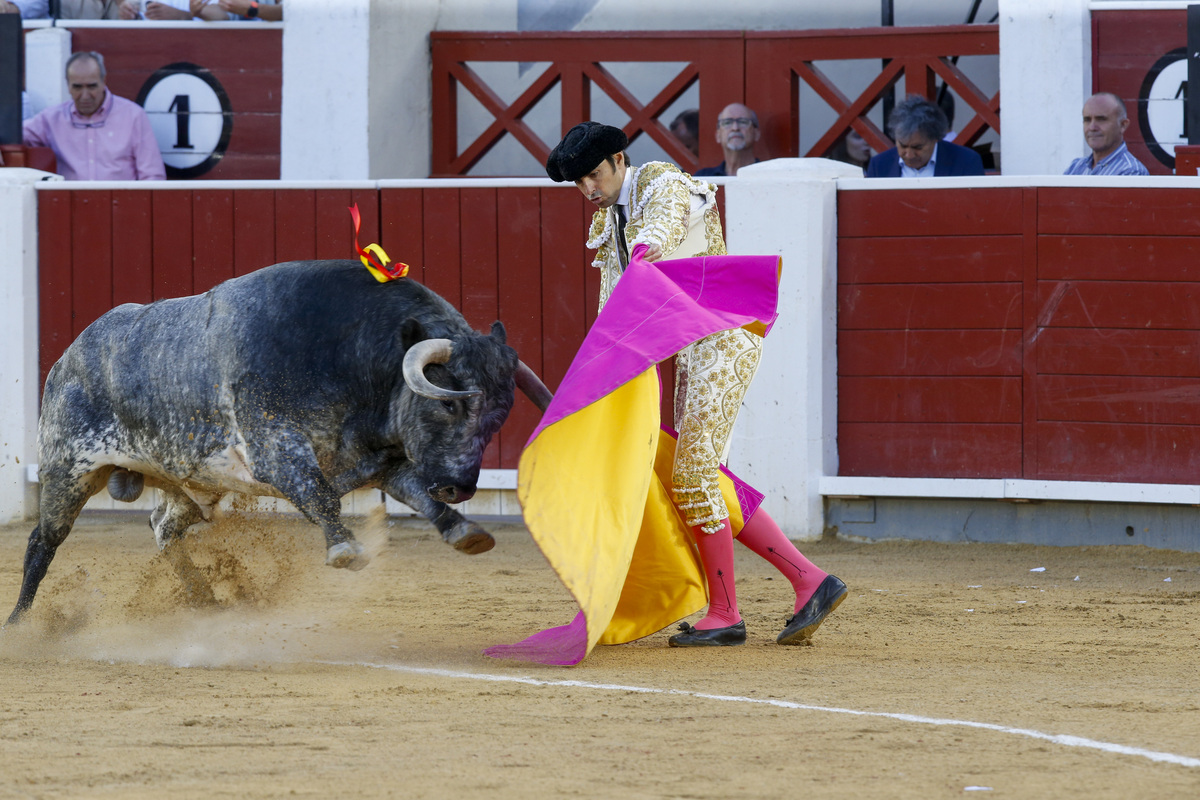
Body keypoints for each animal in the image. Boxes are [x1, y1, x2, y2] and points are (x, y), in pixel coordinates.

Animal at [7, 262, 549, 623]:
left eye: (500, 416)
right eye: (450, 405)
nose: (460, 486)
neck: (352, 359)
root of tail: (68, 357)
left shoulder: (382, 461)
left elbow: (417, 493)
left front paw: (464, 530)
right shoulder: (277, 449)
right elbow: (318, 493)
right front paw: (344, 548)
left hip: (191, 485)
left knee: (163, 527)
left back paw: (204, 598)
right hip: (68, 470)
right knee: (43, 541)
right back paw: (20, 623)